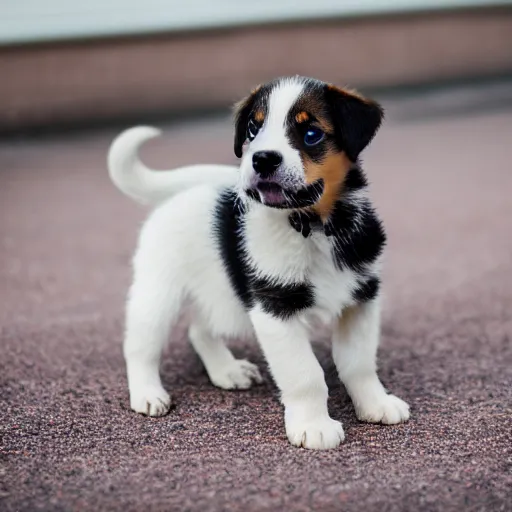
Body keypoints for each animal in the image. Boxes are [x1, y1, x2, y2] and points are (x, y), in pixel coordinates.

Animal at [109, 75, 412, 448]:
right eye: (253, 128)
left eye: (311, 133)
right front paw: (314, 425)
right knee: (140, 345)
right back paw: (147, 394)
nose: (262, 159)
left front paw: (376, 404)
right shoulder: (275, 308)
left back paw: (227, 370)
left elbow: (359, 362)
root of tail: (189, 190)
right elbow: (305, 374)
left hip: (223, 293)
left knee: (200, 329)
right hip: (158, 293)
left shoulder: (362, 298)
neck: (314, 228)